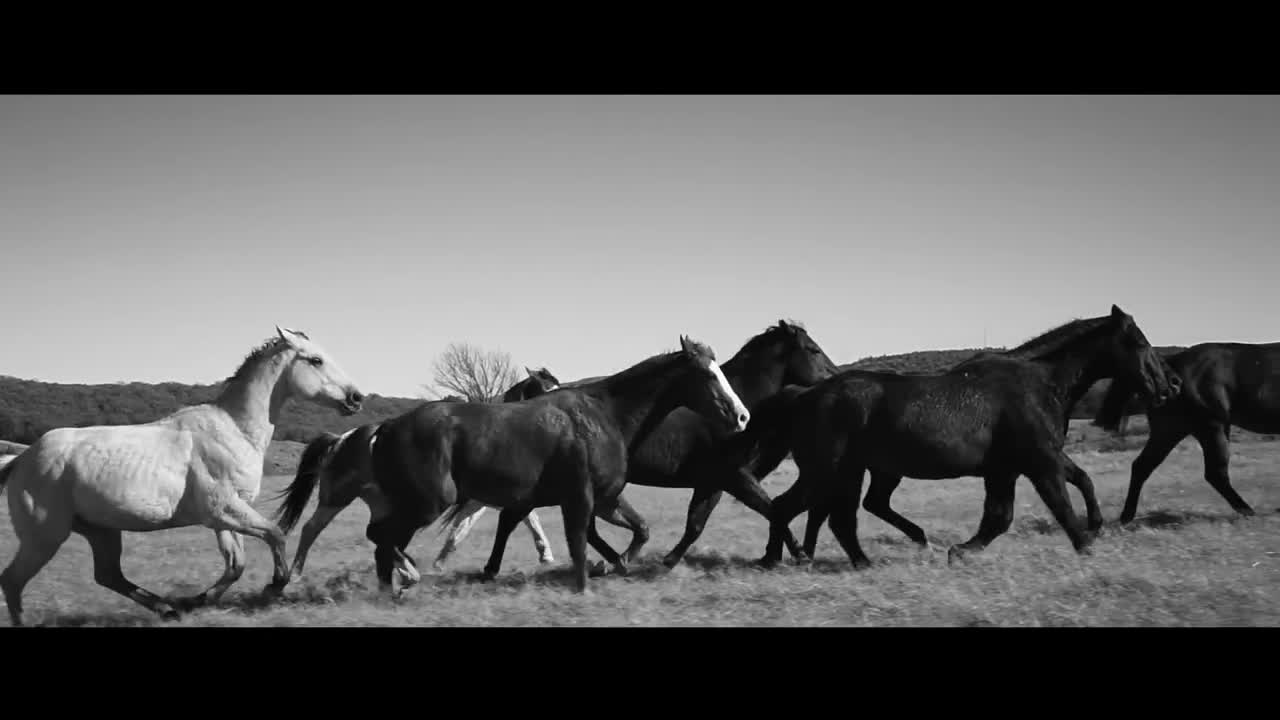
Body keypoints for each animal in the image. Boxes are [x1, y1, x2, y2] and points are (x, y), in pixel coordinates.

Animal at [0, 326, 364, 626]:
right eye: (316, 359)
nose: (356, 398)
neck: (234, 430)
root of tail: (20, 460)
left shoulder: (224, 518)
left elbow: (236, 564)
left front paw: (196, 601)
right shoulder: (223, 510)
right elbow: (275, 534)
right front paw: (274, 585)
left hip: (99, 530)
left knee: (107, 575)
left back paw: (169, 609)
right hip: (46, 536)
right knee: (13, 580)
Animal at [275, 367, 565, 585]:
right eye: (544, 387)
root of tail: (339, 440)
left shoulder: (488, 500)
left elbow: (506, 522)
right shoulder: (480, 500)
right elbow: (471, 528)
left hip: (378, 503)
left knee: (378, 536)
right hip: (337, 497)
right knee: (312, 528)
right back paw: (295, 575)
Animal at [320, 335, 750, 594]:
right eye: (707, 374)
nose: (742, 416)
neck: (603, 416)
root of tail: (386, 427)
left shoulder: (606, 497)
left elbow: (639, 530)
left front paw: (618, 564)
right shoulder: (579, 498)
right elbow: (578, 541)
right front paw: (585, 584)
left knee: (383, 541)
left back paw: (393, 588)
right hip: (427, 503)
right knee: (380, 536)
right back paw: (405, 578)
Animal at [745, 305, 1179, 570]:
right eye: (1140, 343)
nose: (1169, 386)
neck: (1039, 383)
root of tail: (805, 396)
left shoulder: (1010, 468)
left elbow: (1004, 516)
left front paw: (960, 552)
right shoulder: (1040, 463)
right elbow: (1058, 507)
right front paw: (1087, 546)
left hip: (844, 472)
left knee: (818, 513)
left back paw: (796, 559)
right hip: (832, 471)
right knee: (808, 511)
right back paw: (807, 560)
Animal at [1094, 341, 1280, 523]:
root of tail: (1172, 365)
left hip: (1169, 430)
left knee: (1142, 466)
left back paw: (1126, 517)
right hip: (1211, 426)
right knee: (1216, 473)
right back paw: (1248, 511)